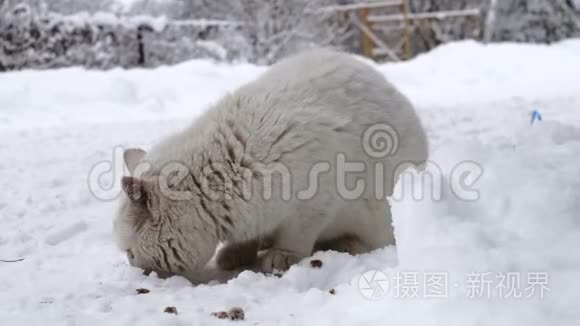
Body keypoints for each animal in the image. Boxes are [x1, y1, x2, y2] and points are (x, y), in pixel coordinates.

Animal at [114, 47, 430, 282]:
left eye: (130, 252)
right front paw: (236, 253)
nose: (134, 270)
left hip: (379, 217)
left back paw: (343, 245)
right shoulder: (249, 215)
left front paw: (281, 255)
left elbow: (296, 236)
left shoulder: (315, 203)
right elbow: (246, 239)